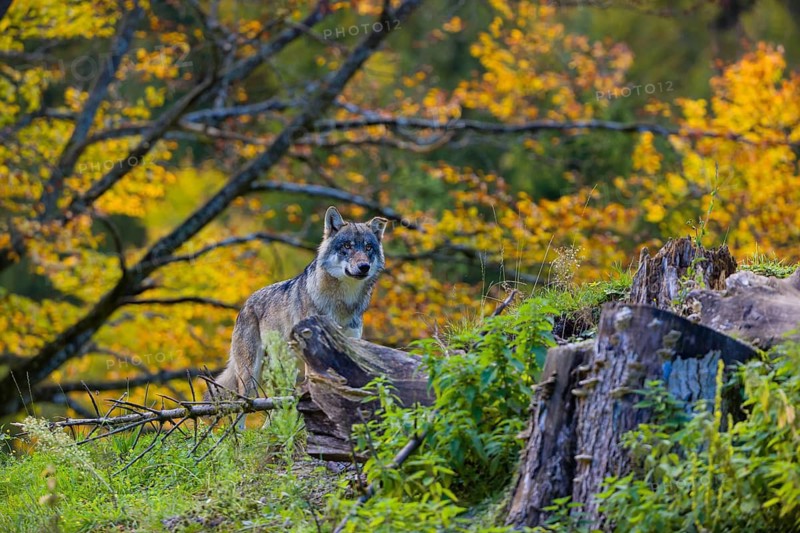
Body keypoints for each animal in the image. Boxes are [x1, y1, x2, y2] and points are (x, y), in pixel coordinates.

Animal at [206, 206, 387, 400]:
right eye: (347, 246)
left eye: (368, 248)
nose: (364, 266)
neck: (343, 304)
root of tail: (246, 303)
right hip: (251, 375)